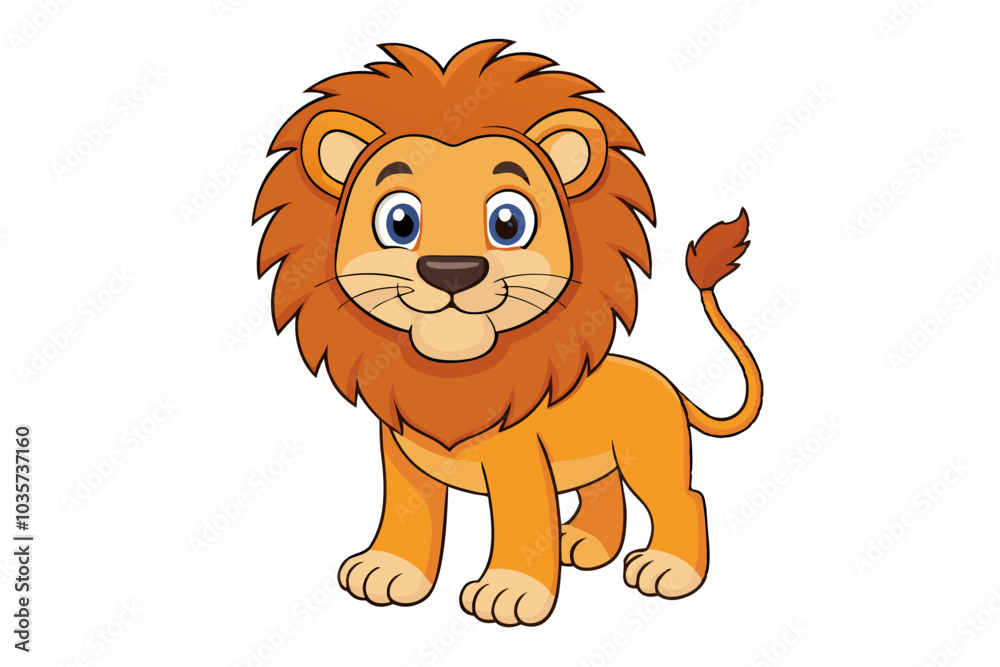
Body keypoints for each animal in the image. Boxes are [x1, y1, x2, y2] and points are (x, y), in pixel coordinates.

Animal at [252, 40, 762, 626]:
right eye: (399, 221)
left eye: (508, 222)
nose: (452, 270)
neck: (451, 377)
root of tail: (666, 383)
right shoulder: (400, 454)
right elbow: (409, 517)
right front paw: (388, 571)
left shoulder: (518, 461)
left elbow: (524, 524)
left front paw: (511, 593)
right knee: (605, 493)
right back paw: (583, 544)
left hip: (648, 453)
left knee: (682, 499)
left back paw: (669, 569)